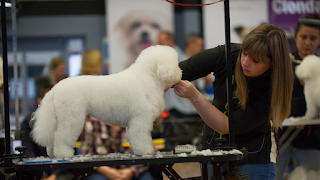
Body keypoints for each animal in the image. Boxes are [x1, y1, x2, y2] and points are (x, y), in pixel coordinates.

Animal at [32, 45, 184, 158]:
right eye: (175, 64)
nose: (181, 72)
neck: (148, 78)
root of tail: (55, 89)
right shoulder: (140, 119)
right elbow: (141, 137)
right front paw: (146, 151)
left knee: (53, 138)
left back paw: (52, 153)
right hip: (71, 116)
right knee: (61, 136)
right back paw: (64, 154)